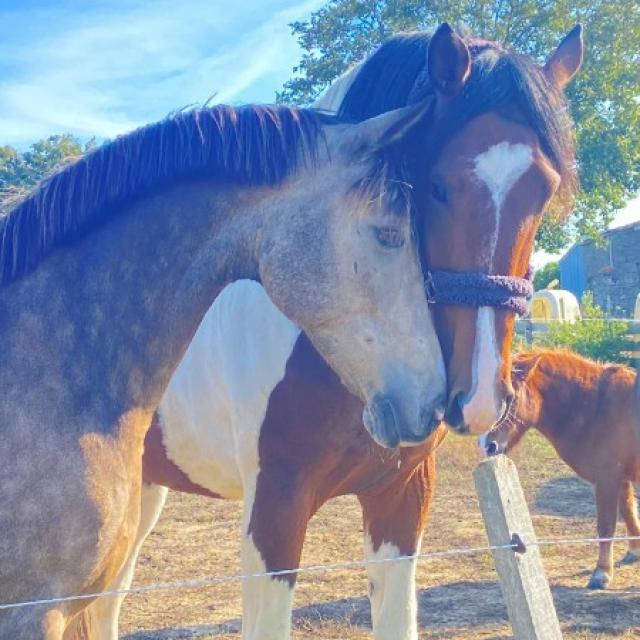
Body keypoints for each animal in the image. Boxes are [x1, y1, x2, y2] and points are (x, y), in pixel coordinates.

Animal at [480, 350, 640, 592]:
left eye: (510, 398)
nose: (487, 445)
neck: (596, 409)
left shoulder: (607, 479)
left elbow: (606, 526)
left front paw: (601, 573)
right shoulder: (619, 479)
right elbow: (629, 513)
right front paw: (634, 551)